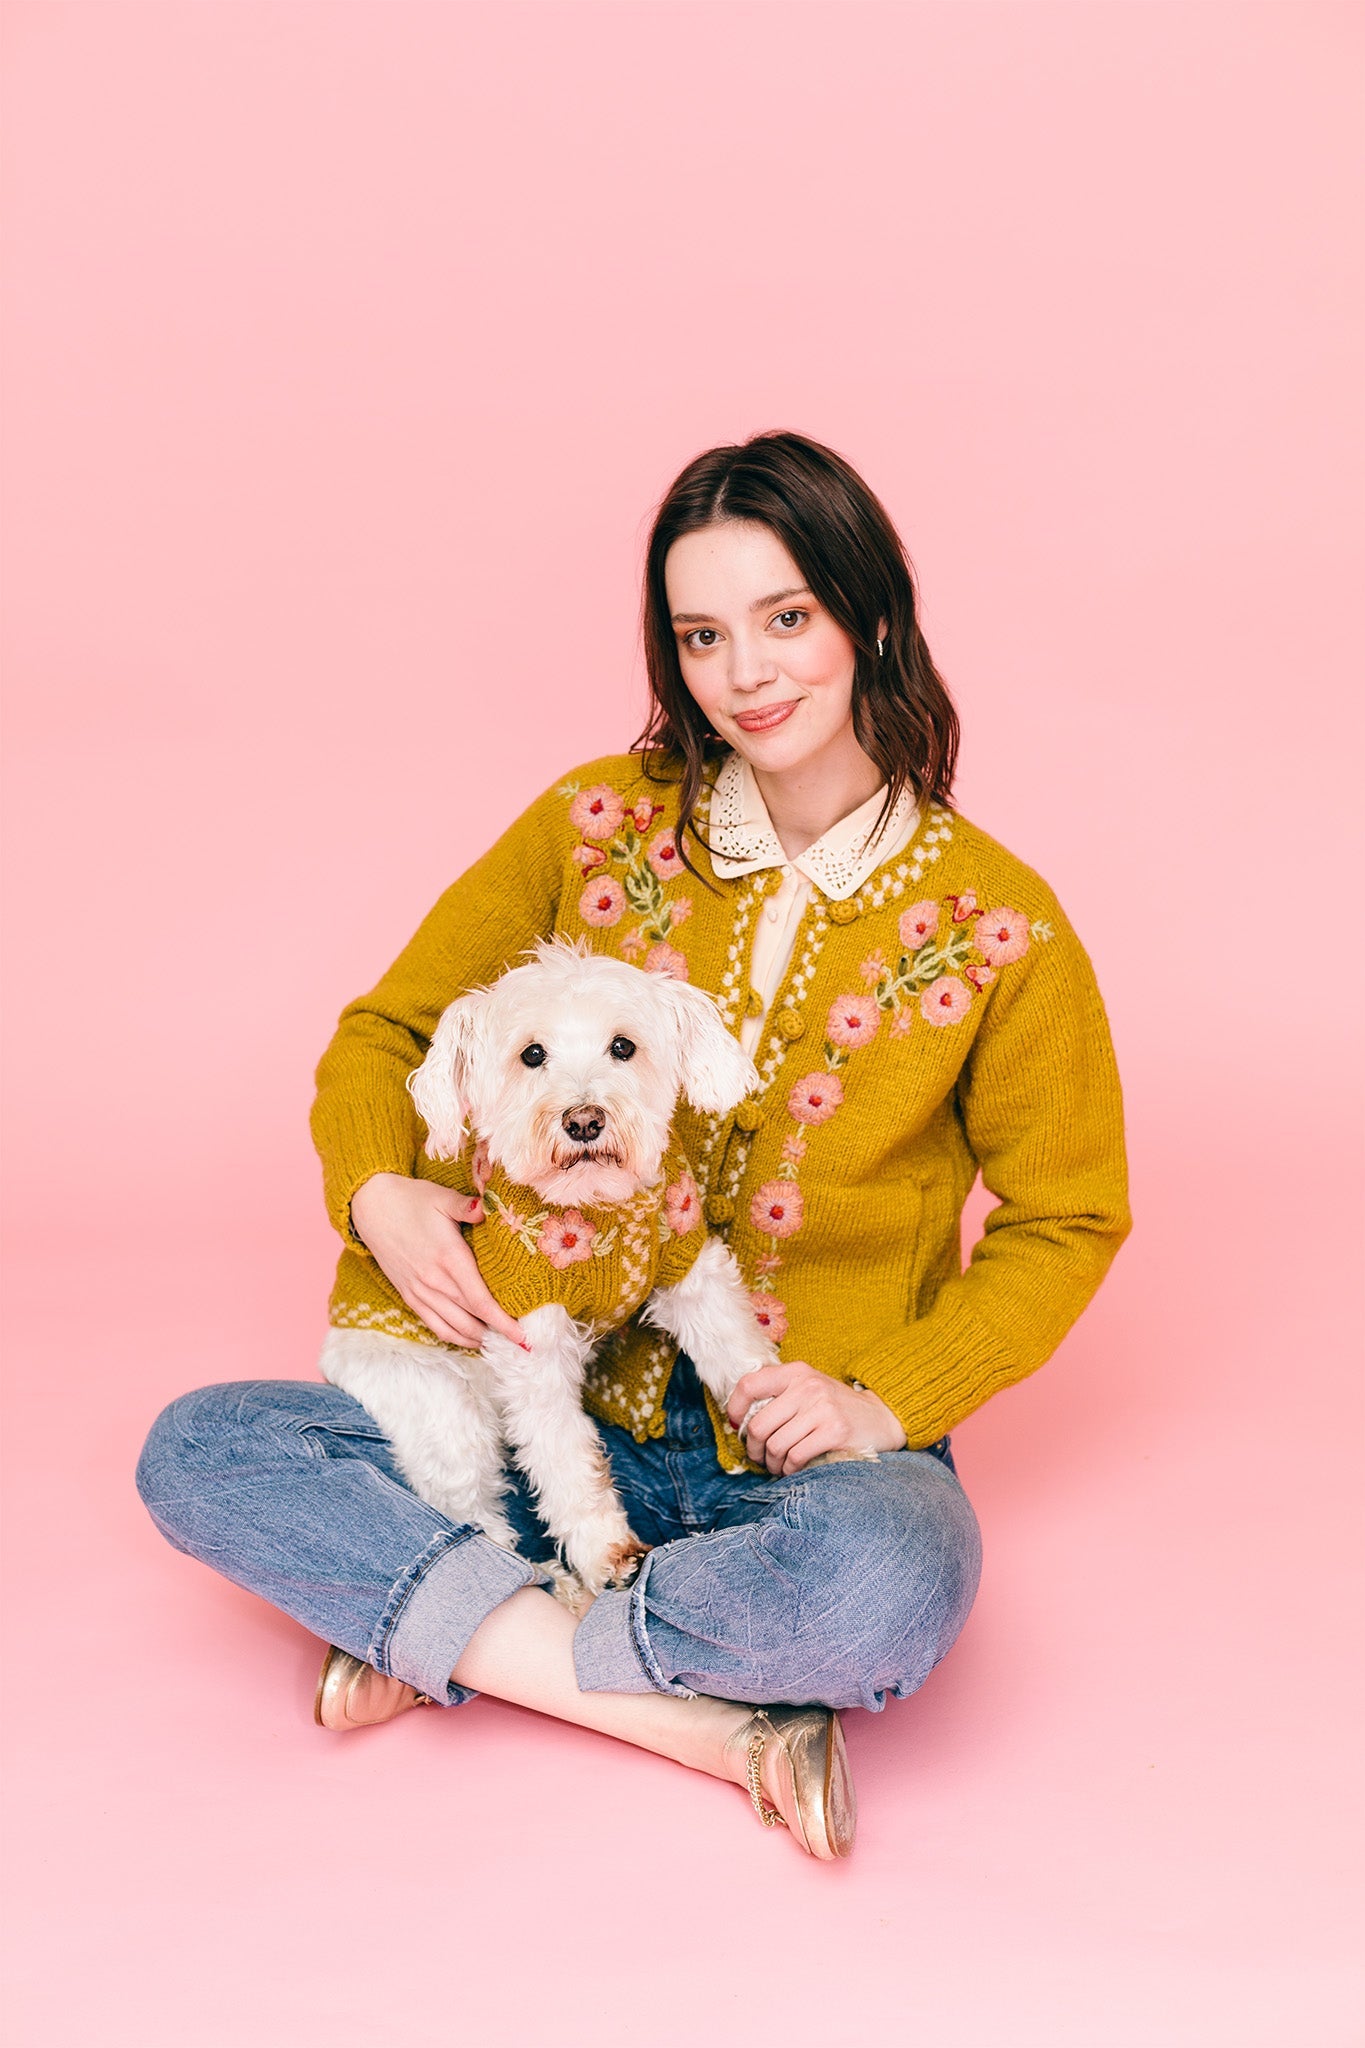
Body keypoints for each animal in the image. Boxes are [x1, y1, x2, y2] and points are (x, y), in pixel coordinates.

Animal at [321, 937, 785, 1597]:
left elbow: (741, 1357)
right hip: (444, 1415)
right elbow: (566, 1455)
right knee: (477, 1525)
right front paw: (605, 1552)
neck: (598, 1209)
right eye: (532, 1054)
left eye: (623, 1046)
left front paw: (794, 1430)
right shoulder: (529, 1341)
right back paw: (556, 1586)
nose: (583, 1119)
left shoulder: (689, 1271)